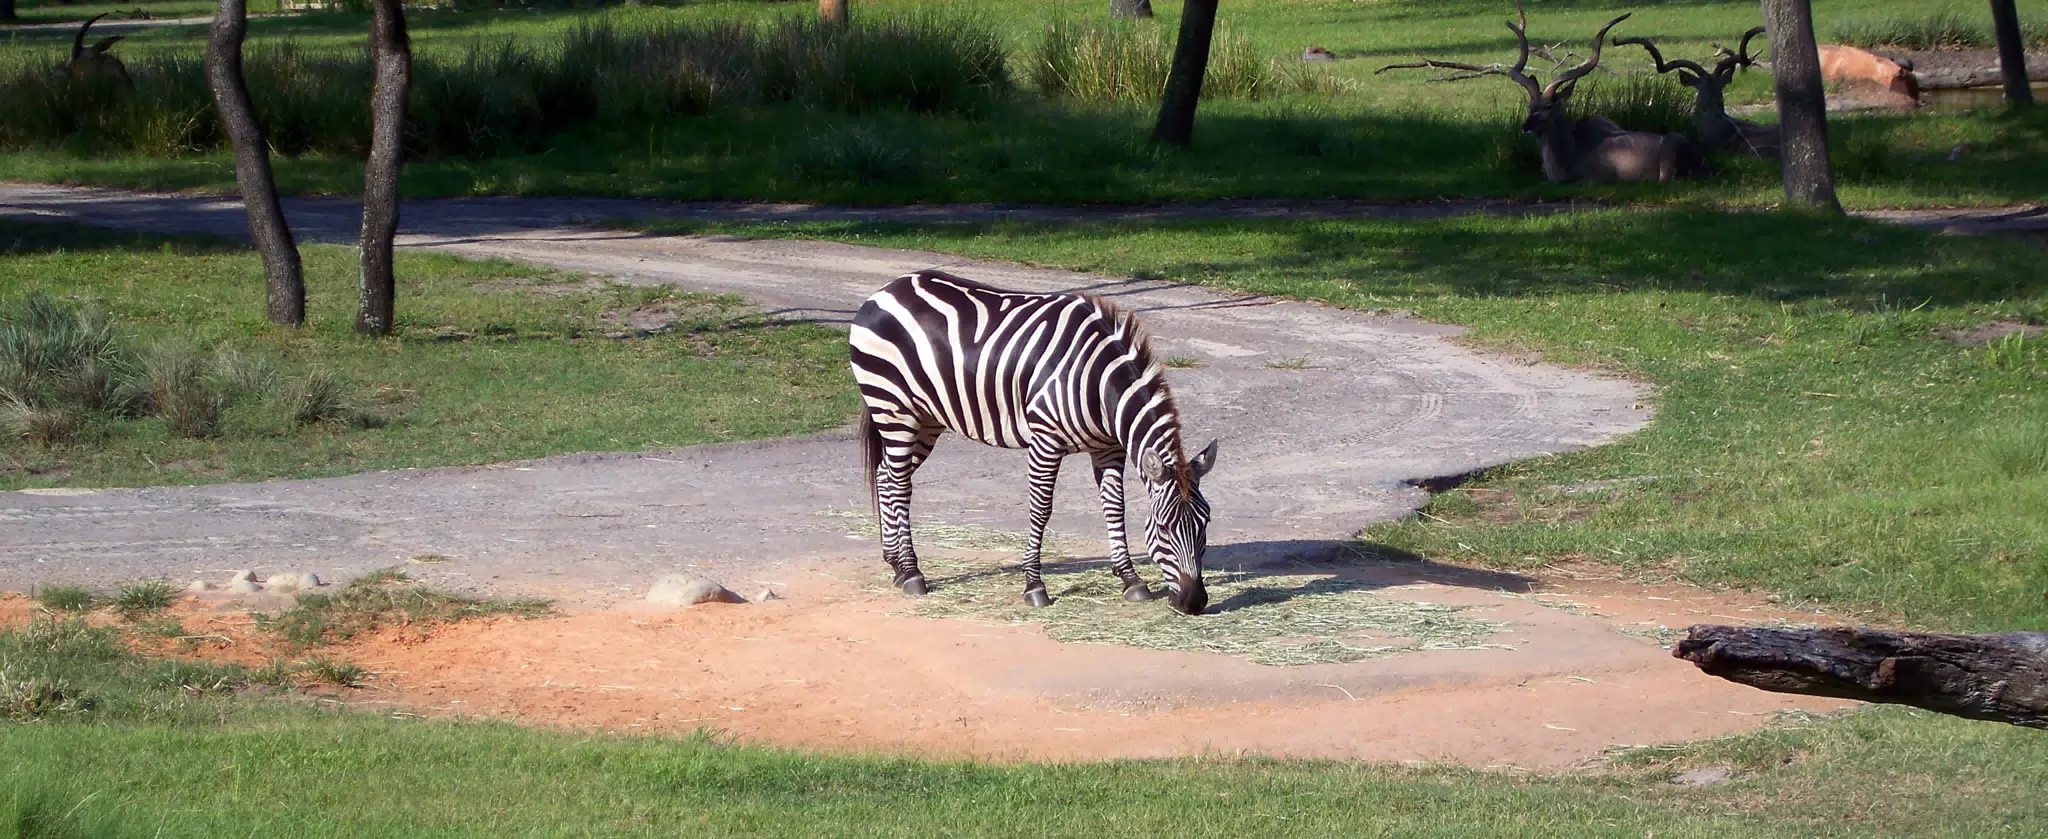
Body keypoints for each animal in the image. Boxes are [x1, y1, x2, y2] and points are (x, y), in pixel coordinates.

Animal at [848, 269, 1219, 616]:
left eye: (1206, 523)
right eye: (1164, 528)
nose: (1193, 602)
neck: (1099, 384)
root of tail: (887, 289)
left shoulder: (1108, 448)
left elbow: (1115, 507)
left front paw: (1131, 579)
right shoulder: (1046, 441)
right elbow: (1041, 510)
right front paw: (1034, 585)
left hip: (926, 419)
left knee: (885, 475)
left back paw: (895, 565)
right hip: (894, 409)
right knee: (899, 485)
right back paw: (912, 573)